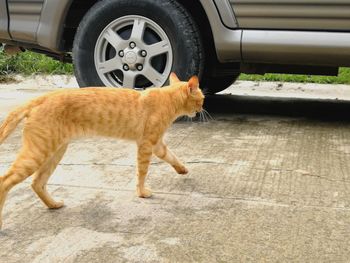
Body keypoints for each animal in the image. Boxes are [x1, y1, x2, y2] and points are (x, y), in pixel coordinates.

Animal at [0, 72, 205, 229]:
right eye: (202, 99)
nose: (202, 109)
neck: (167, 98)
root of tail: (39, 98)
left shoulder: (157, 145)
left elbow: (172, 156)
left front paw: (183, 169)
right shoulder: (147, 145)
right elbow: (142, 171)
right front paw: (141, 192)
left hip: (55, 152)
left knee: (37, 182)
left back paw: (54, 204)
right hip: (38, 153)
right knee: (5, 180)